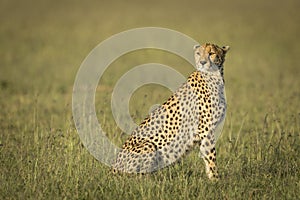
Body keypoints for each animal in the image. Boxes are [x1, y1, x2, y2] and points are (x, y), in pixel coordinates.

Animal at [112, 42, 230, 180]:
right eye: (198, 53)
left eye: (211, 53)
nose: (202, 62)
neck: (215, 77)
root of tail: (112, 168)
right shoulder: (205, 128)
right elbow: (211, 156)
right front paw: (216, 179)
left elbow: (207, 155)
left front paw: (212, 178)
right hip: (148, 146)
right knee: (138, 178)